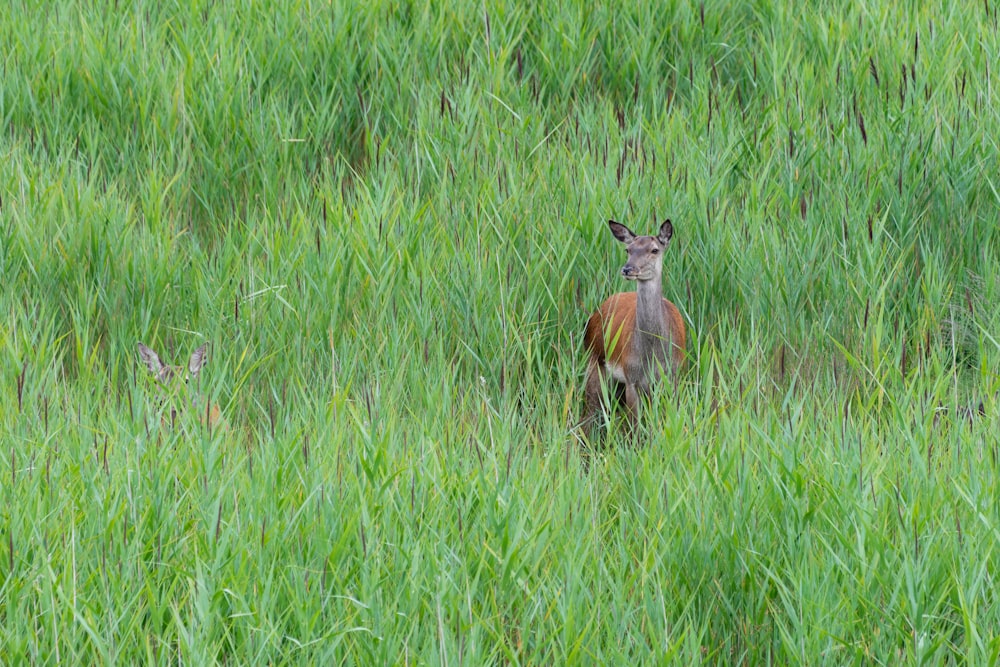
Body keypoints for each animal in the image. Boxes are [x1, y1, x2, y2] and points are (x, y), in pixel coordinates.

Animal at [580, 219, 688, 444]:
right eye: (628, 249)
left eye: (654, 249)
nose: (628, 269)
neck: (651, 354)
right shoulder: (631, 377)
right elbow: (635, 427)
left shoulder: (672, 375)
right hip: (594, 359)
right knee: (591, 409)